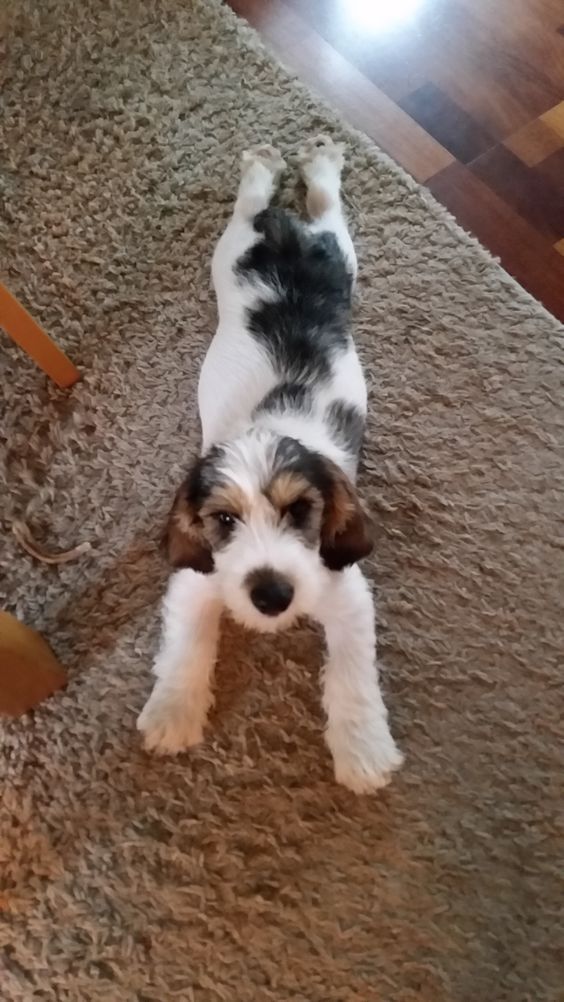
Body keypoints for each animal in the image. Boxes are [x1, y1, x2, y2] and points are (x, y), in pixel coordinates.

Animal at [138, 137, 404, 793]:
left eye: (301, 510)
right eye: (225, 521)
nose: (272, 594)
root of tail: (289, 238)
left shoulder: (346, 593)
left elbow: (353, 676)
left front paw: (363, 752)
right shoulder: (197, 581)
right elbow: (185, 646)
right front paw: (172, 715)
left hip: (338, 251)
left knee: (324, 205)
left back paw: (315, 165)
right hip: (233, 250)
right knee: (253, 206)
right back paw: (265, 169)